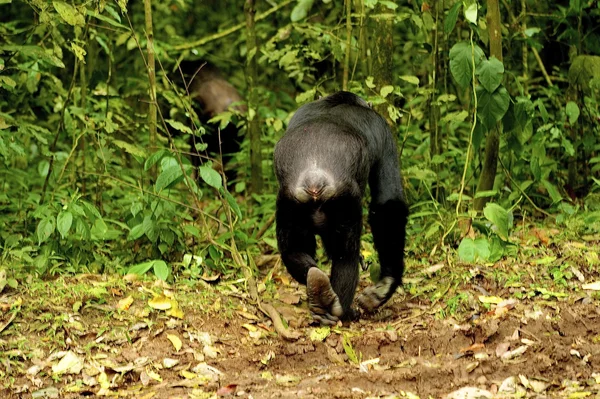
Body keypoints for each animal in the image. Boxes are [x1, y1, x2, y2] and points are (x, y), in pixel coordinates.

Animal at [276, 91, 408, 324]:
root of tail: (314, 179)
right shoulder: (384, 133)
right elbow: (388, 202)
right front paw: (387, 284)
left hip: (288, 200)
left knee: (293, 249)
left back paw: (319, 291)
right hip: (344, 200)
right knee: (346, 254)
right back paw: (340, 309)